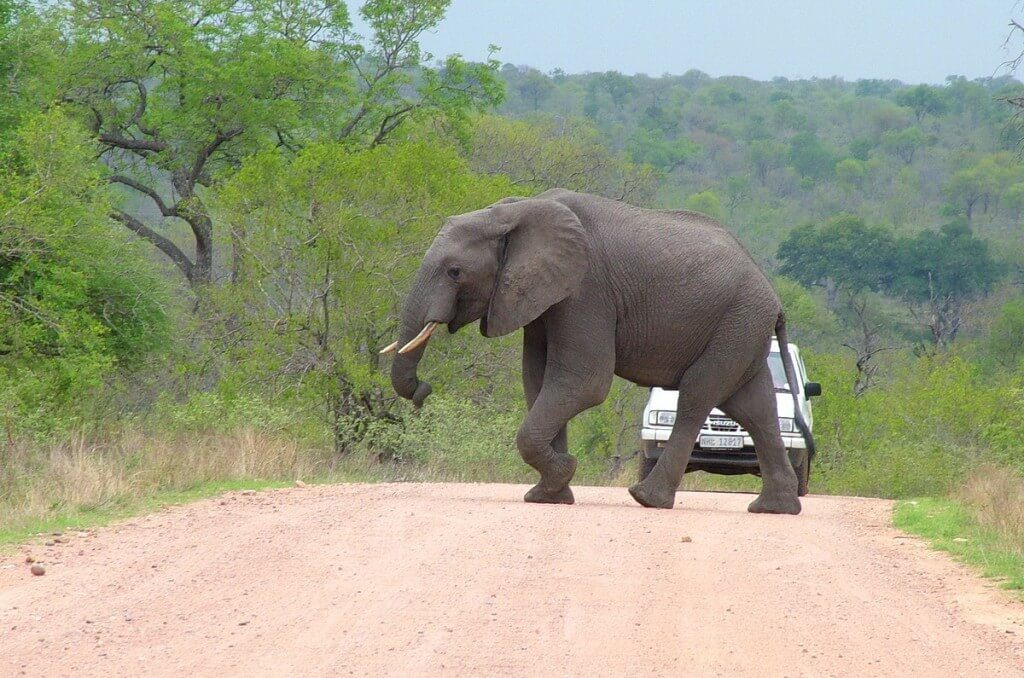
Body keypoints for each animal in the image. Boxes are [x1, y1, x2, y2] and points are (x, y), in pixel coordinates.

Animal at [382, 187, 806, 516]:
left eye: (454, 271)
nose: (422, 391)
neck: (516, 211)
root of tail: (774, 297)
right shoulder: (542, 296)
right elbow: (537, 380)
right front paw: (548, 496)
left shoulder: (587, 291)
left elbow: (583, 381)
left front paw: (563, 472)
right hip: (742, 329)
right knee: (754, 406)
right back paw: (773, 508)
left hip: (736, 321)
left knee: (697, 395)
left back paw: (647, 499)